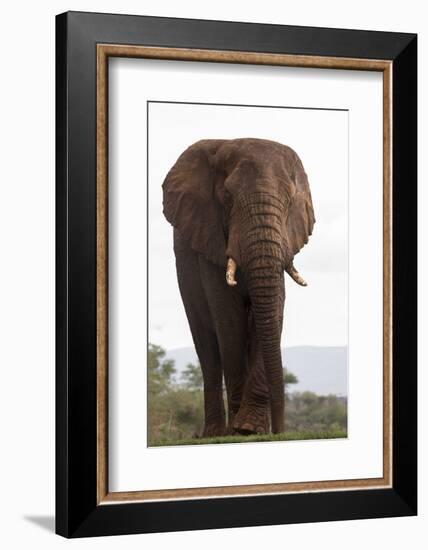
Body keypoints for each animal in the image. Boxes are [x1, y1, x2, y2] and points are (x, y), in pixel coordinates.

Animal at [162, 137, 316, 436]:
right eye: (228, 197)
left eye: (289, 199)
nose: (280, 431)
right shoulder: (209, 238)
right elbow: (228, 316)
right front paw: (240, 430)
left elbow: (272, 309)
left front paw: (250, 428)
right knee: (207, 347)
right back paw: (214, 434)